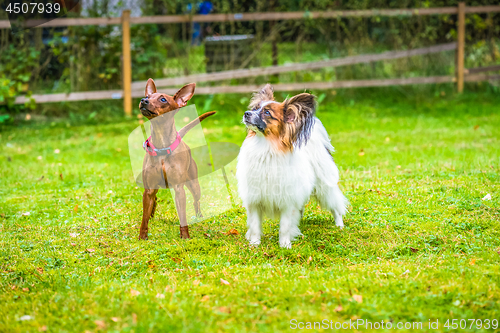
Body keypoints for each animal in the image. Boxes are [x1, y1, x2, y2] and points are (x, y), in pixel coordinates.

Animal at [139, 78, 215, 239]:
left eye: (163, 99)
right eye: (148, 96)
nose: (143, 100)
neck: (161, 147)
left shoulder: (179, 189)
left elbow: (183, 216)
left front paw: (185, 237)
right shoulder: (148, 190)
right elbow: (144, 218)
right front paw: (142, 237)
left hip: (194, 185)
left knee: (196, 201)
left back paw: (199, 216)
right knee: (154, 200)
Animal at [235, 84, 348, 248]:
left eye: (267, 112)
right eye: (255, 108)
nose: (246, 113)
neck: (265, 147)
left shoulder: (287, 201)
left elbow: (284, 226)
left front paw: (285, 245)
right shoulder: (255, 199)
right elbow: (255, 225)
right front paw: (255, 244)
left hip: (324, 188)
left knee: (336, 206)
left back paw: (339, 225)